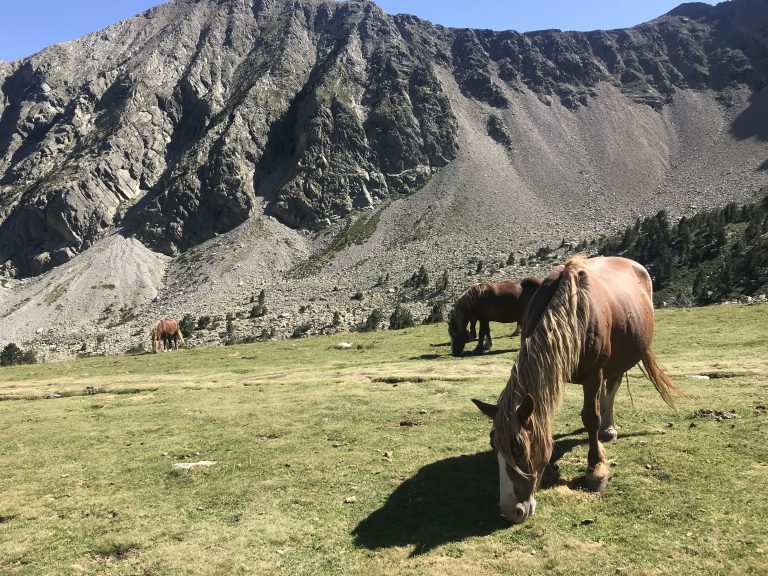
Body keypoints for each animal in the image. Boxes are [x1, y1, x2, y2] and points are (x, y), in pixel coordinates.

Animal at [468, 255, 680, 520]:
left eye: (520, 451)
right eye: (493, 447)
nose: (510, 511)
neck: (573, 313)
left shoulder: (594, 374)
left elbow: (591, 417)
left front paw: (596, 468)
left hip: (619, 361)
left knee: (612, 389)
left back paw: (608, 428)